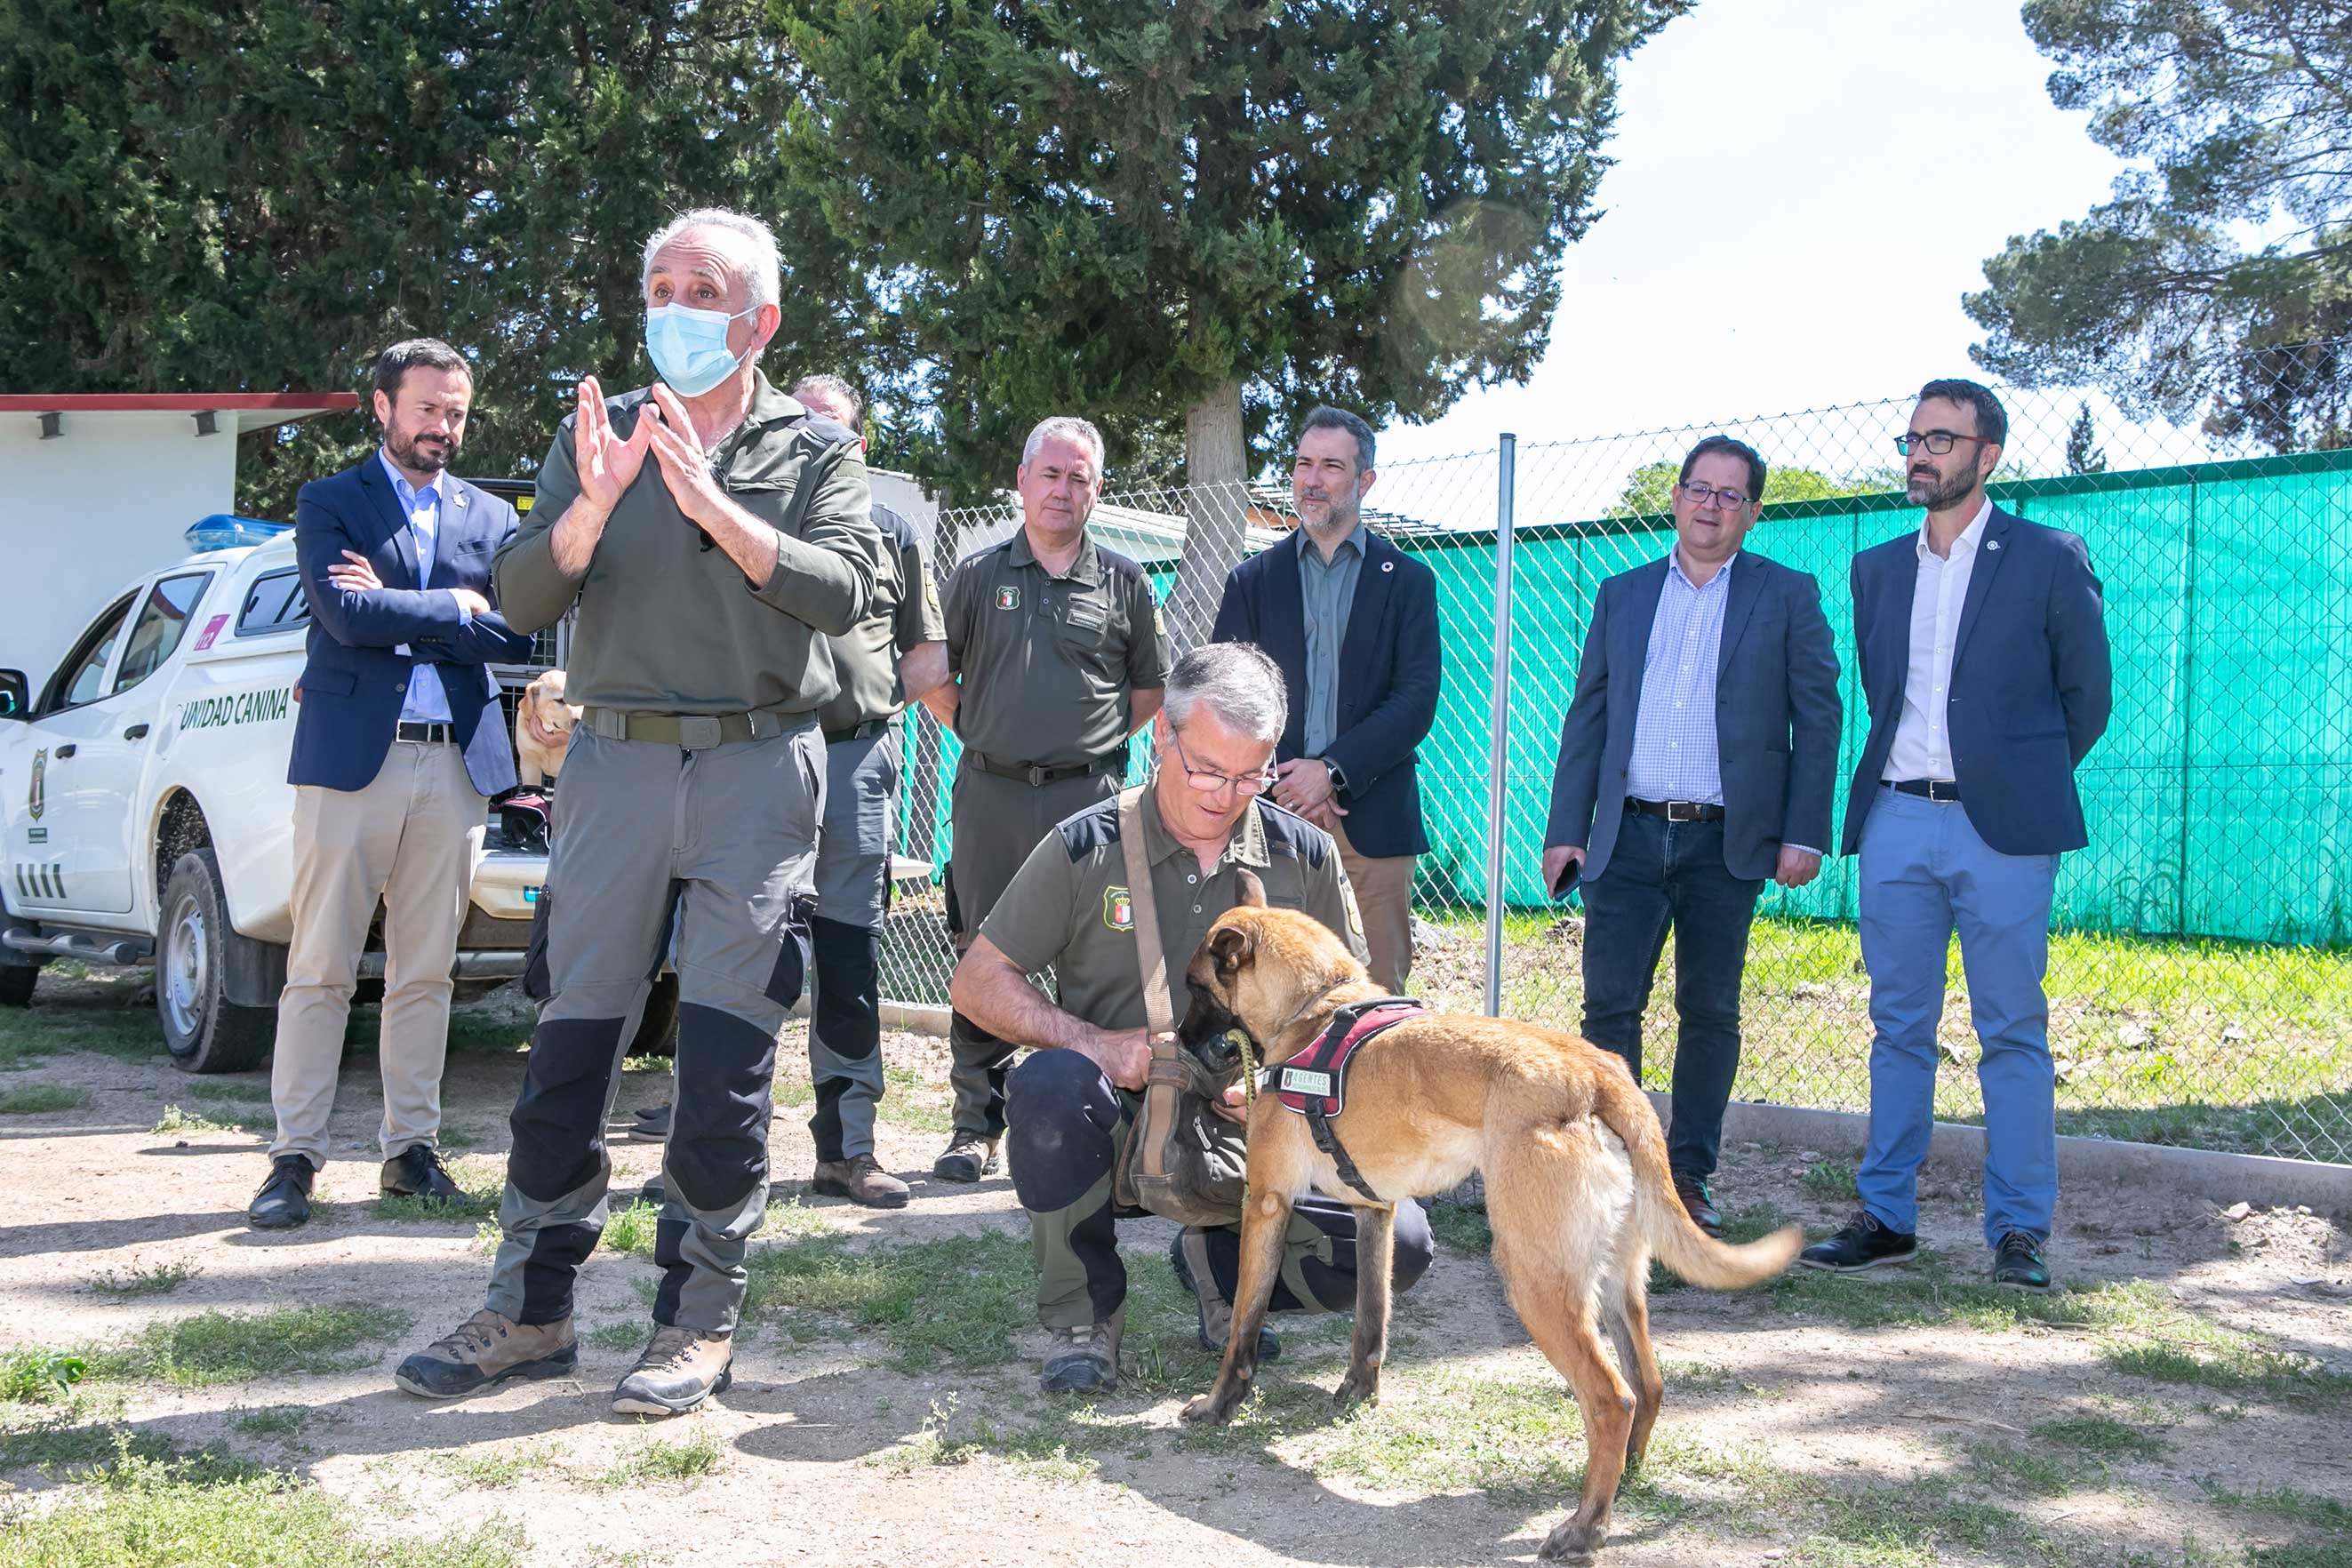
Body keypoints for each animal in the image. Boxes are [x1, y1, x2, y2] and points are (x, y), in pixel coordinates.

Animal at [1176, 879, 1796, 1561]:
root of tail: (1599, 1074)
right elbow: (1370, 1323)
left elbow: (1244, 1325)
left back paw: (1585, 1526)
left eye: (1195, 985)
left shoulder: (1266, 1204)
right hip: (1615, 1280)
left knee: (1612, 1399)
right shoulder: (1375, 1213)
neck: (1317, 1005)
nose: (1175, 1039)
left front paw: (1219, 1405)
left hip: (1534, 1282)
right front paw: (1357, 1393)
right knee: (1649, 1385)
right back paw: (1620, 1486)